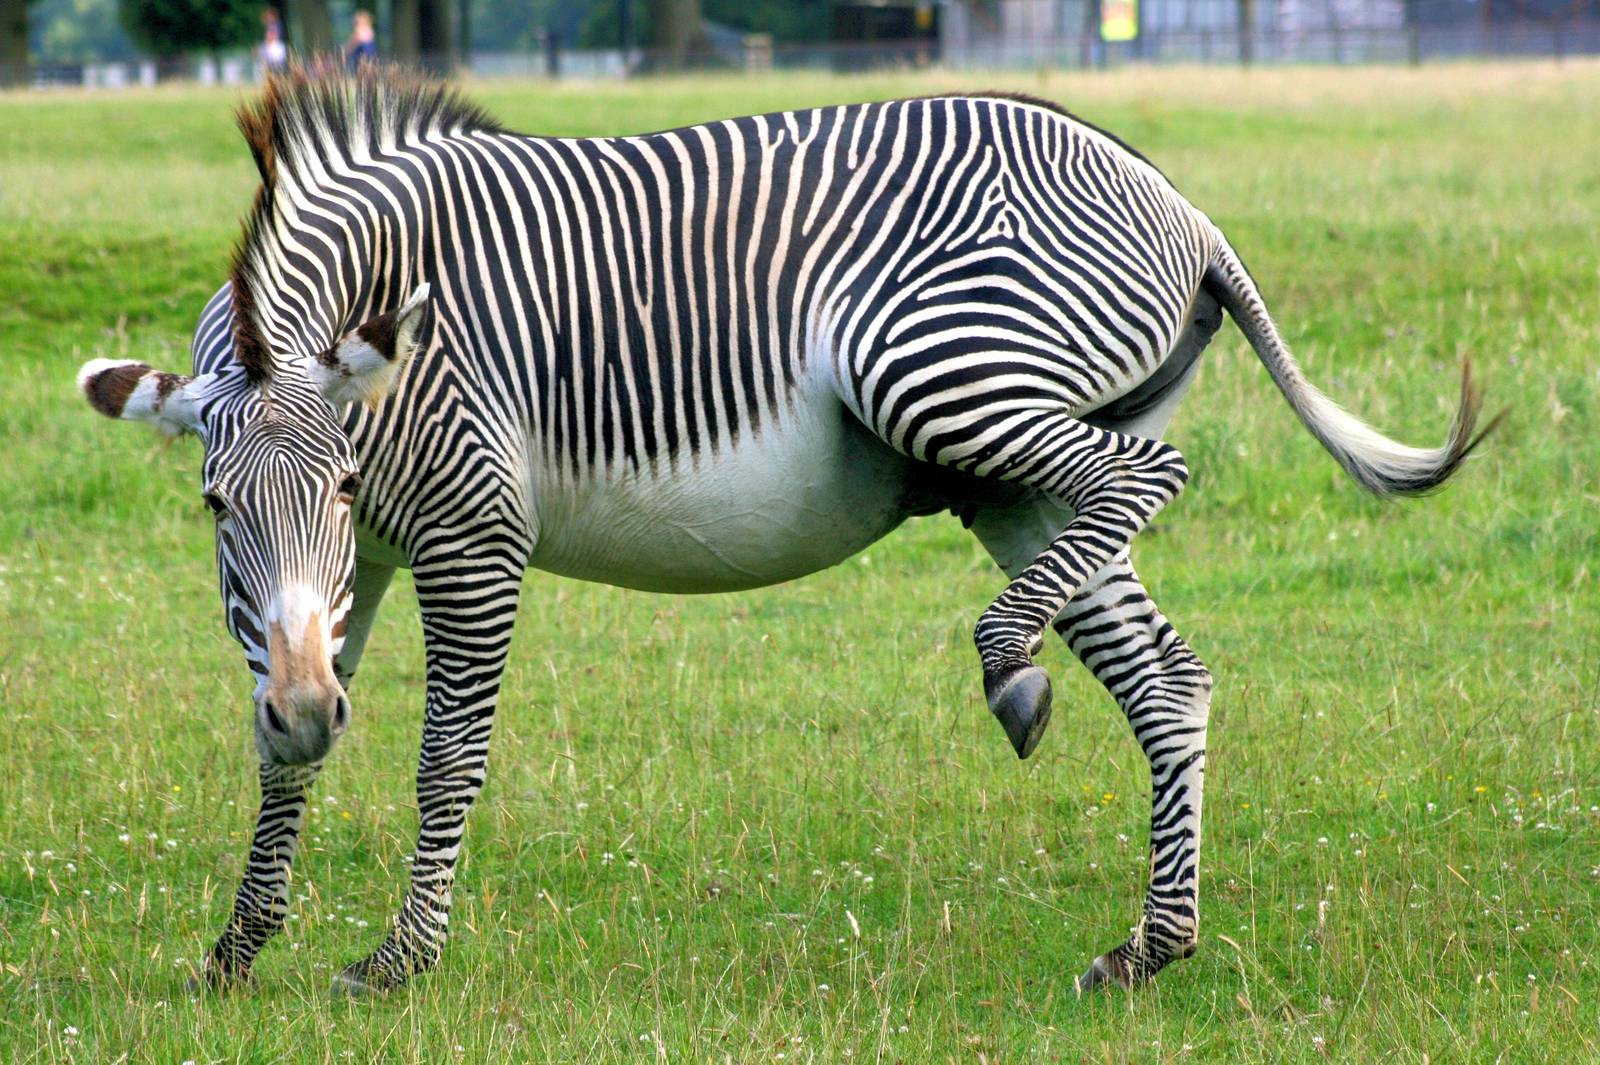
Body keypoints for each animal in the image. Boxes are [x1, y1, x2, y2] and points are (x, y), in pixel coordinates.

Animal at [76, 67, 1492, 995]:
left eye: (339, 487)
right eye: (214, 508)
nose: (308, 703)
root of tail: (1177, 202)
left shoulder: (471, 532)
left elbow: (445, 758)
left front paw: (397, 961)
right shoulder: (346, 580)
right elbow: (281, 754)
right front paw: (236, 949)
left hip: (945, 377)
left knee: (1156, 469)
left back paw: (1009, 661)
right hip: (1008, 473)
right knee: (1167, 672)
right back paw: (1152, 941)